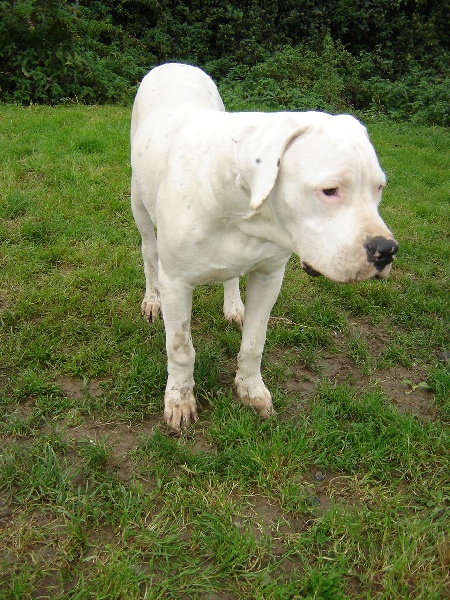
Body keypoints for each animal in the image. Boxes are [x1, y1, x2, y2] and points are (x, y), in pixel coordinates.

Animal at [130, 63, 398, 432]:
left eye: (379, 188)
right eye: (330, 190)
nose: (386, 249)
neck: (244, 210)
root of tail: (174, 64)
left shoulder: (269, 276)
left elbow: (255, 342)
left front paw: (251, 389)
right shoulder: (176, 284)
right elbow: (180, 348)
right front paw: (180, 400)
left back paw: (233, 305)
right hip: (139, 207)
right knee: (149, 253)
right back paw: (151, 299)